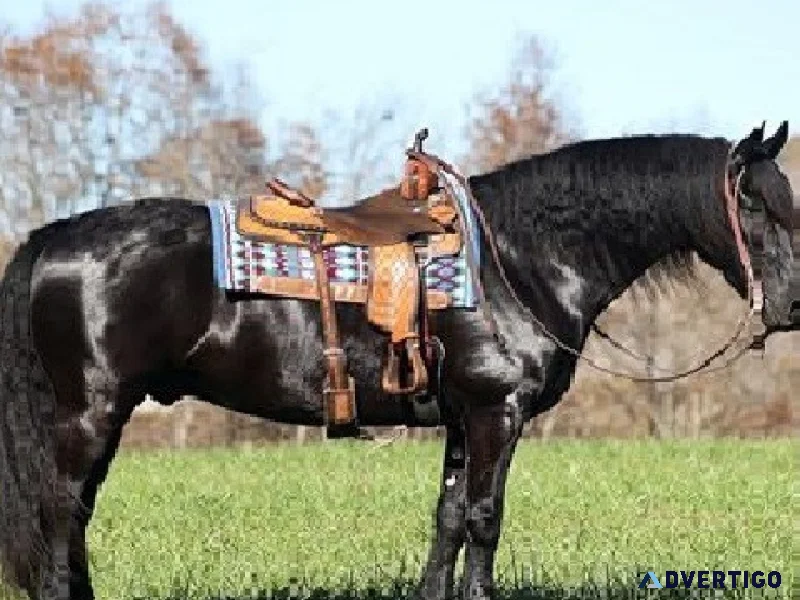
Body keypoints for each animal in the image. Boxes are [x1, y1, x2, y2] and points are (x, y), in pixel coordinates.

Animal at [0, 121, 795, 600]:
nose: (790, 306)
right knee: (59, 513)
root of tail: (51, 238)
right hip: (88, 413)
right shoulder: (497, 413)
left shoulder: (461, 417)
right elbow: (484, 517)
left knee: (74, 516)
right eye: (754, 204)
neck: (519, 259)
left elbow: (446, 518)